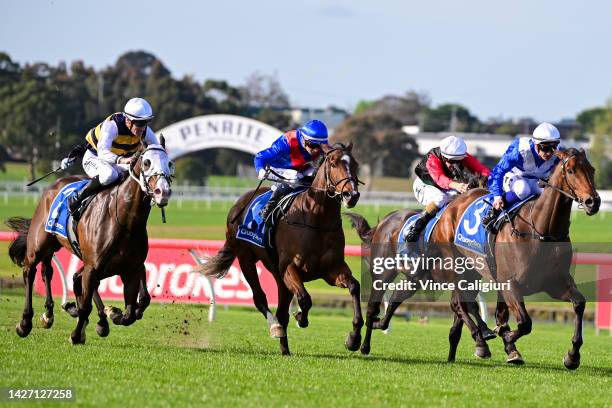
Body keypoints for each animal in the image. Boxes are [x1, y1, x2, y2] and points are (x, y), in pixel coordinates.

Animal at [7, 141, 173, 344]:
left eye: (170, 163)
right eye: (147, 162)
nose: (163, 192)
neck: (124, 221)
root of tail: (53, 186)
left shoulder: (130, 269)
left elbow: (131, 311)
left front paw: (111, 313)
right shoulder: (94, 267)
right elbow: (88, 304)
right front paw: (76, 334)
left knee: (52, 272)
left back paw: (56, 314)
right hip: (39, 245)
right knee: (30, 272)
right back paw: (26, 322)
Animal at [201, 143, 364, 354]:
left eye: (355, 164)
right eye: (334, 163)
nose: (351, 195)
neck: (316, 220)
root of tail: (239, 204)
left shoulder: (332, 269)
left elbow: (354, 286)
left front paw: (354, 338)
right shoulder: (289, 268)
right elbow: (305, 298)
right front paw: (301, 317)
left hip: (278, 276)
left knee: (281, 310)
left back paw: (285, 349)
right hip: (246, 258)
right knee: (260, 298)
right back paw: (275, 327)